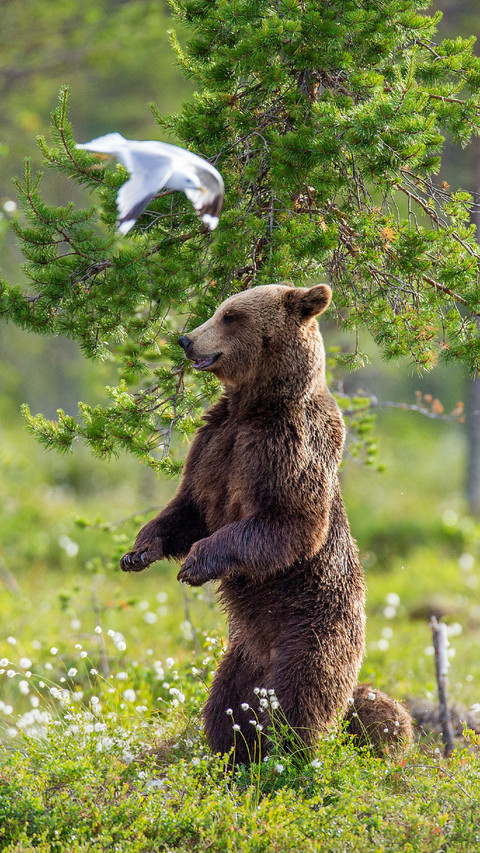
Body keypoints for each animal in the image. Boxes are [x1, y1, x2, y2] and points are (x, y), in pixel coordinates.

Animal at [121, 283, 413, 763]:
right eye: (219, 309)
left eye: (231, 316)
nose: (186, 340)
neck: (256, 404)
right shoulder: (215, 443)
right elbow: (188, 509)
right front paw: (139, 551)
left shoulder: (287, 447)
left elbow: (287, 523)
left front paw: (196, 564)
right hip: (241, 656)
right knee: (226, 704)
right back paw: (231, 754)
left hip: (312, 628)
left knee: (302, 698)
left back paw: (289, 753)